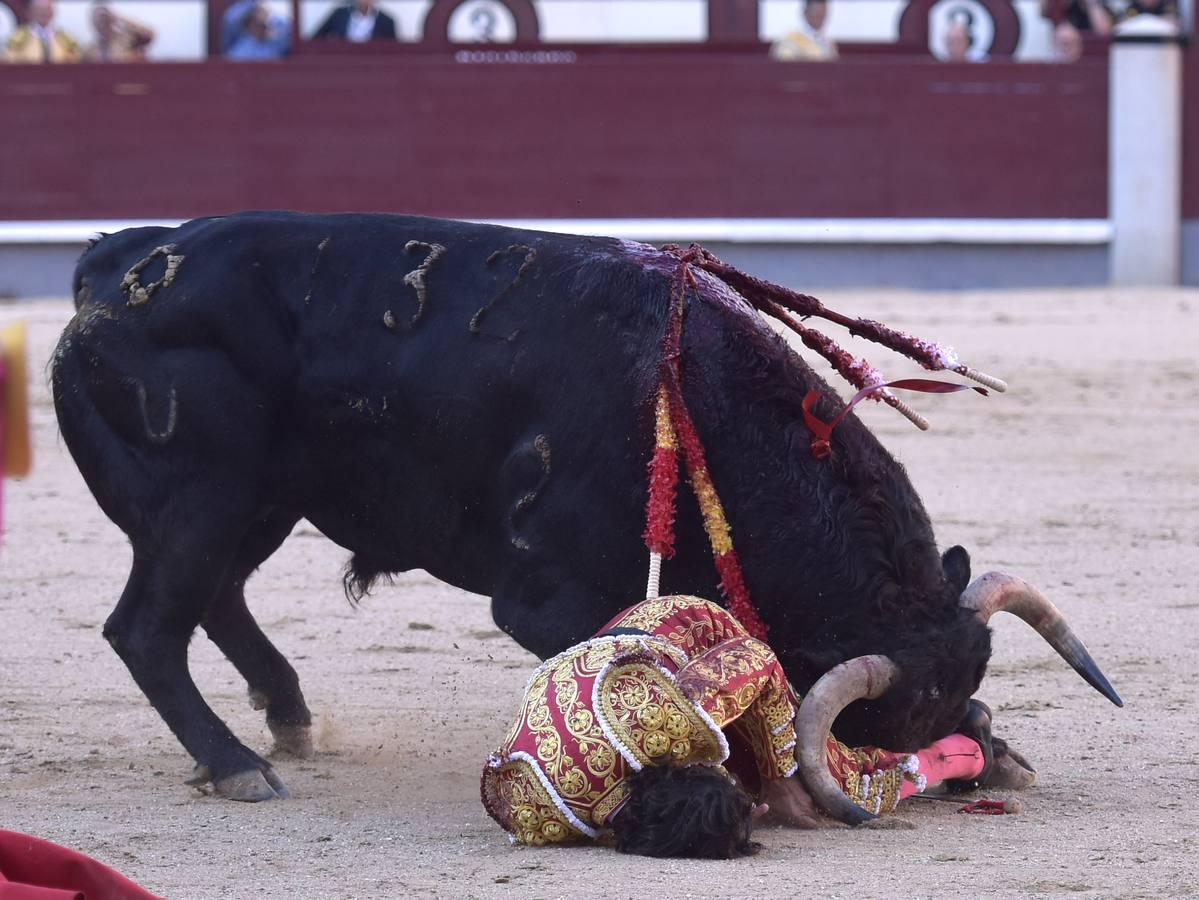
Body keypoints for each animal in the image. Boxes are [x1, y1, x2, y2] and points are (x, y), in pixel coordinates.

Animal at [49, 210, 1112, 800]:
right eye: (890, 719)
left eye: (955, 690)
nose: (945, 769)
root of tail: (118, 265)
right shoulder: (547, 600)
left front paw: (1002, 748)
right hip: (204, 498)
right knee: (149, 627)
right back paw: (235, 764)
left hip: (257, 501)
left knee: (215, 600)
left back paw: (288, 722)